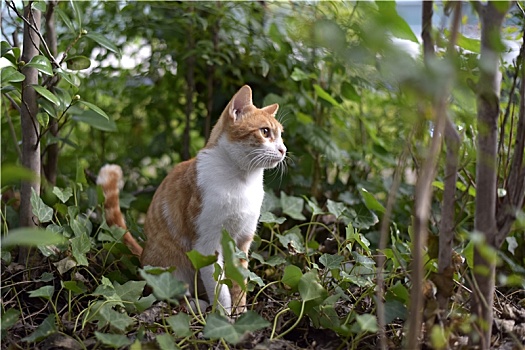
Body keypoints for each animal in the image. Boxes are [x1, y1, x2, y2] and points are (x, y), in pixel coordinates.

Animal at [98, 86, 286, 316]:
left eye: (281, 136)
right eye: (265, 132)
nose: (283, 150)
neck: (241, 181)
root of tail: (143, 254)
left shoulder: (242, 241)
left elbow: (238, 282)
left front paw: (239, 312)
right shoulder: (207, 246)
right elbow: (219, 287)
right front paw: (223, 316)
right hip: (171, 266)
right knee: (172, 294)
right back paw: (197, 305)